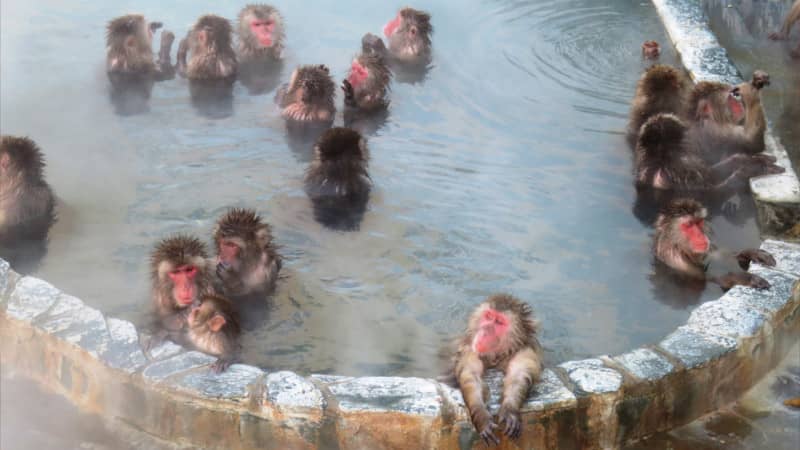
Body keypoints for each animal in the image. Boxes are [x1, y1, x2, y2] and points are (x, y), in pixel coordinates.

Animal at [450, 294, 544, 444]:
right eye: (489, 316)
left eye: (499, 322)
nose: (485, 329)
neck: (497, 355)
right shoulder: (470, 349)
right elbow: (471, 375)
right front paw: (481, 415)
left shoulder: (525, 351)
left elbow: (518, 376)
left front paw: (510, 410)